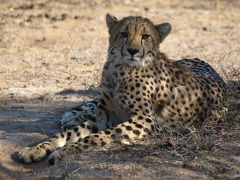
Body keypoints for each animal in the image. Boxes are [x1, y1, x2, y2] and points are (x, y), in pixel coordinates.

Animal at [17, 13, 226, 165]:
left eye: (145, 36)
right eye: (124, 34)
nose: (132, 51)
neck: (118, 69)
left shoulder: (144, 120)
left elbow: (95, 137)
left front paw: (63, 152)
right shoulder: (105, 115)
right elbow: (69, 134)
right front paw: (36, 149)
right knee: (88, 105)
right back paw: (72, 116)